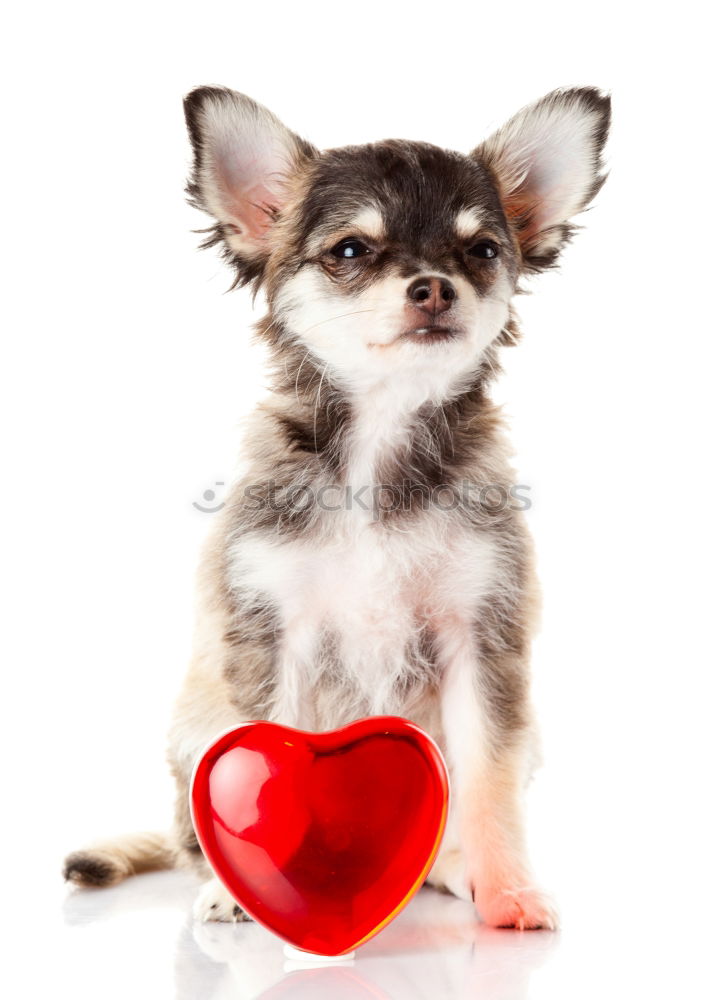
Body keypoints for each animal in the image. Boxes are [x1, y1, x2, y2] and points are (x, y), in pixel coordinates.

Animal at [65, 86, 612, 928]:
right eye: (350, 251)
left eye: (483, 252)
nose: (433, 286)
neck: (378, 442)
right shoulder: (272, 633)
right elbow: (261, 774)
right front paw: (255, 895)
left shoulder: (480, 639)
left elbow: (488, 781)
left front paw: (508, 890)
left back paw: (449, 869)